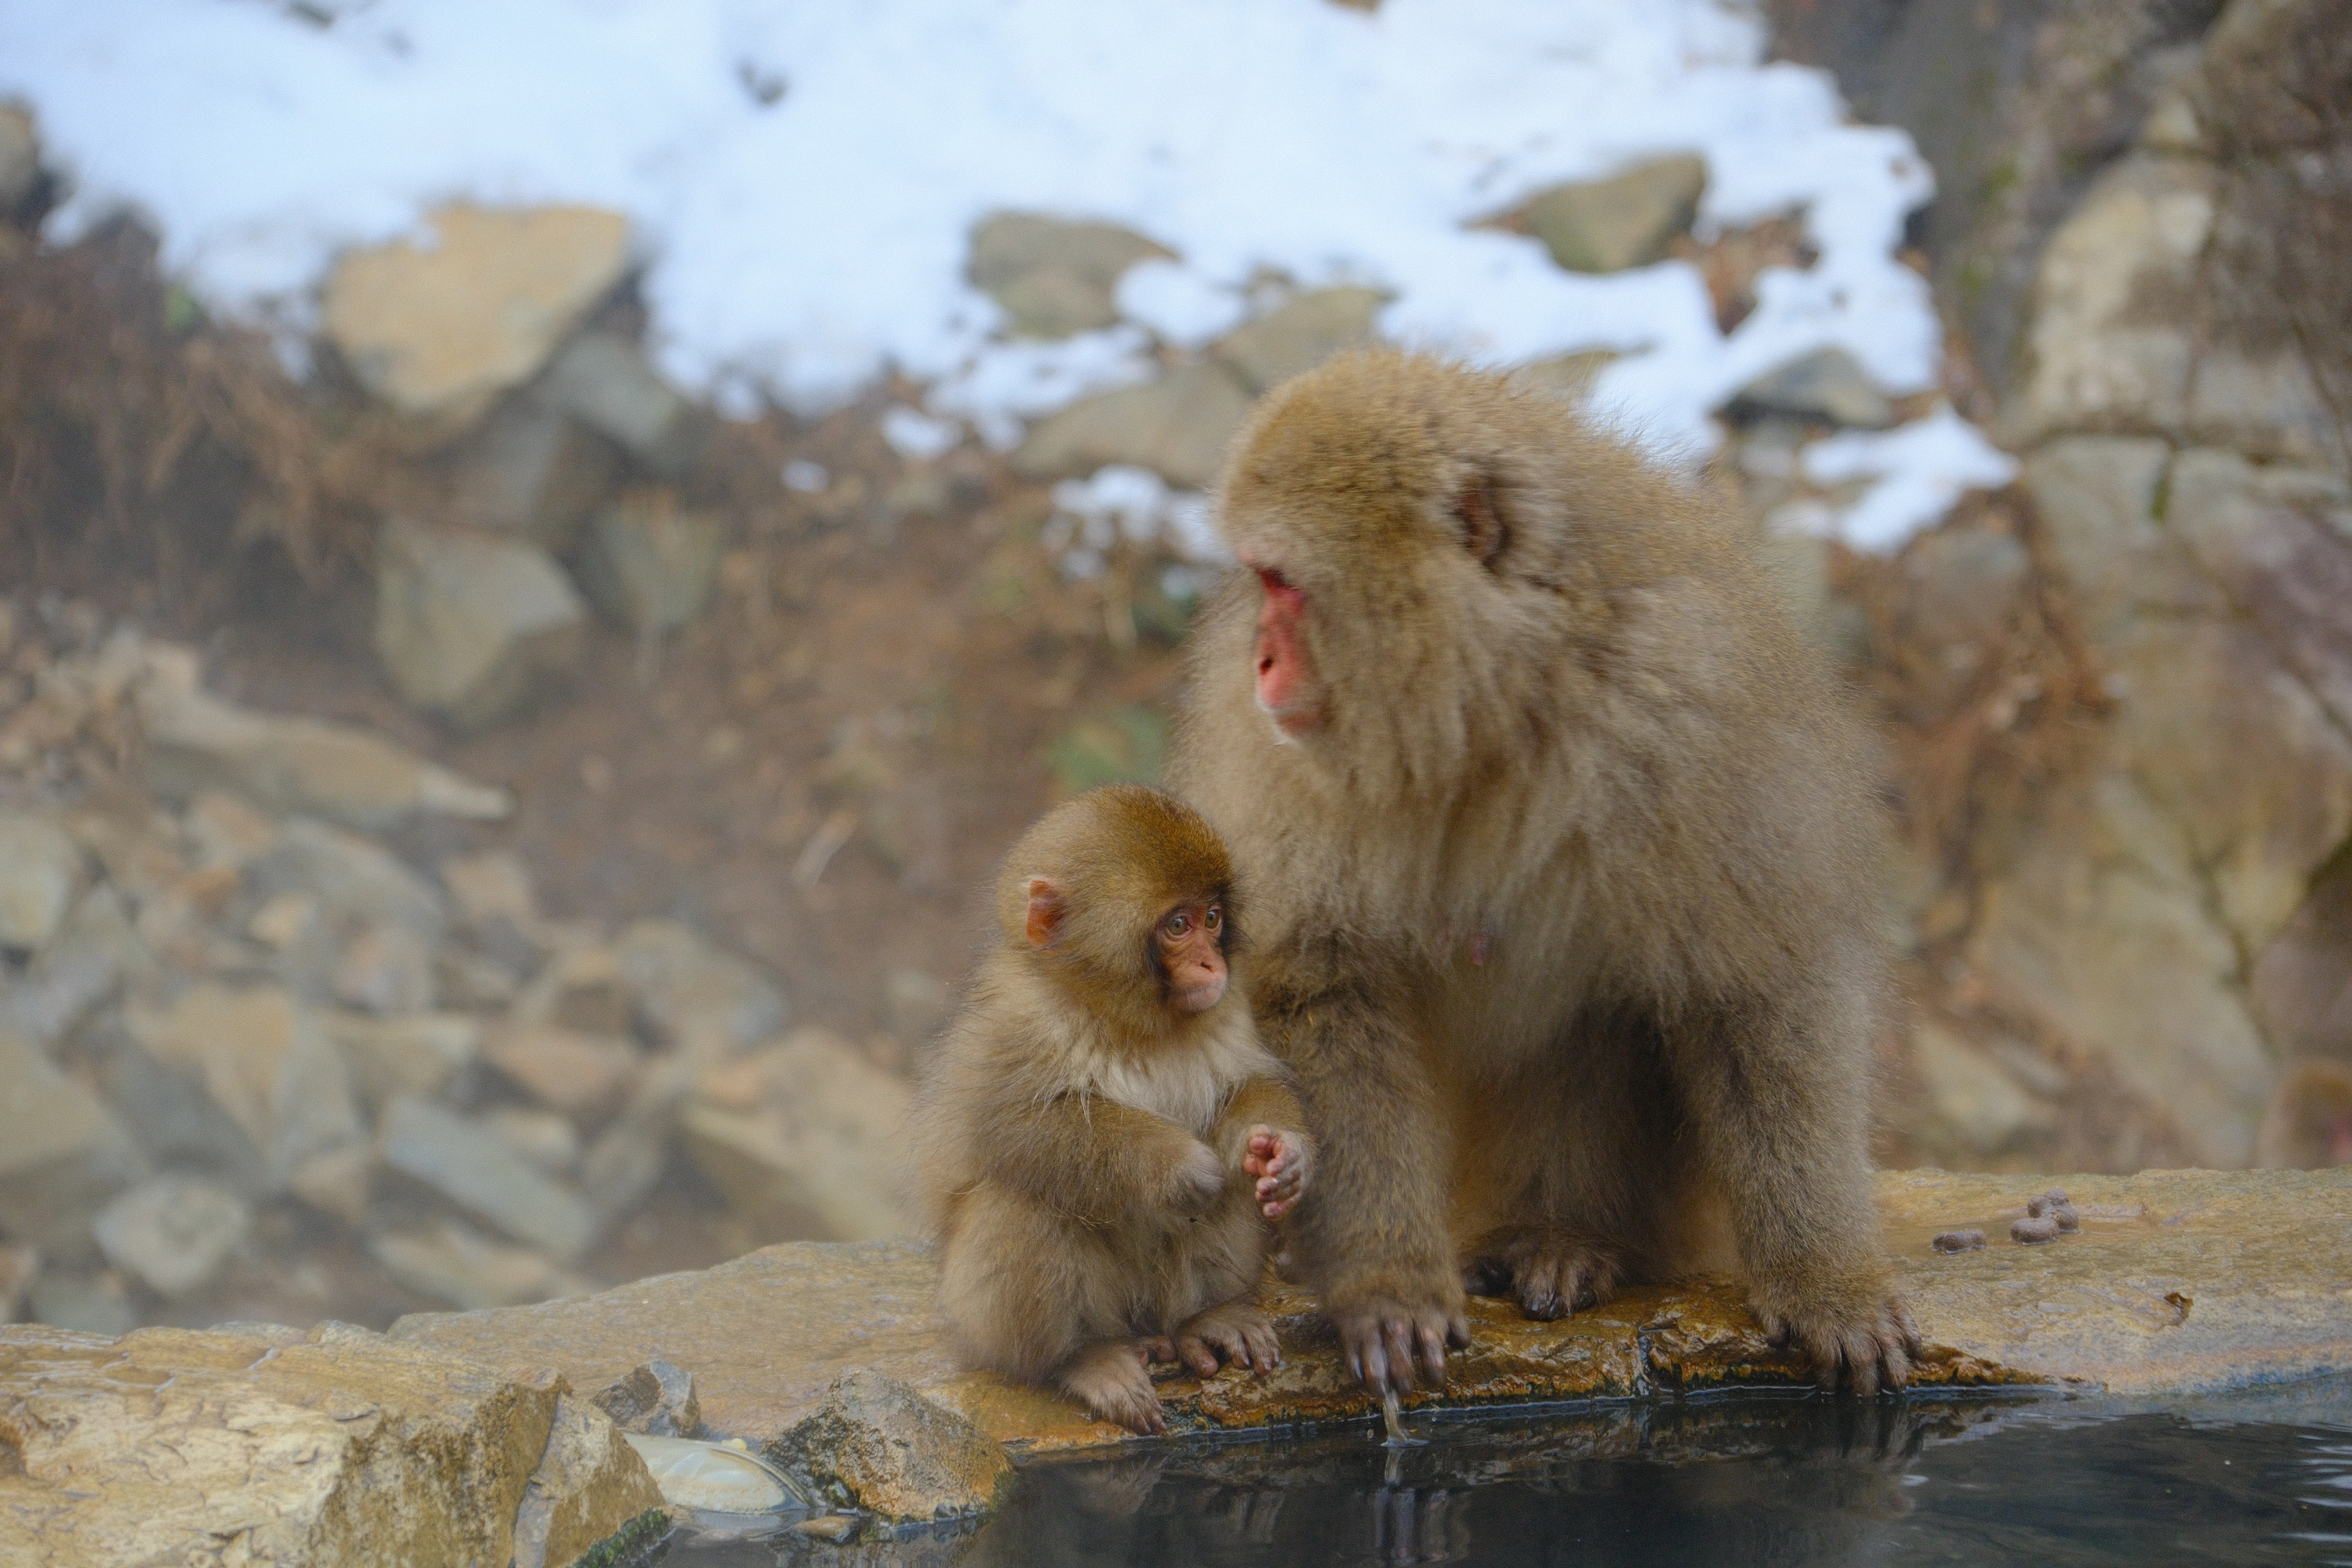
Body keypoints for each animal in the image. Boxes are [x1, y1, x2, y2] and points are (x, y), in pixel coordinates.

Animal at [909, 784, 1316, 1434]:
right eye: (1177, 925)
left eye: (1212, 918)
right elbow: (1017, 1128)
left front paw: (1283, 1152)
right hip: (987, 1316)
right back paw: (1081, 1359)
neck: (1124, 1020)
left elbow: (1243, 1089)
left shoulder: (1229, 1006)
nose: (1212, 964)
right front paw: (1181, 1167)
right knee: (1021, 1201)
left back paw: (1208, 1316)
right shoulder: (1013, 1024)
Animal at [1164, 349, 1920, 1398]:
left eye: (1285, 583)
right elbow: (1317, 984)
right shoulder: (1281, 763)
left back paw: (1560, 1236)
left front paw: (1825, 1279)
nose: (1261, 660)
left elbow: (1758, 980)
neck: (1488, 703)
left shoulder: (1688, 698)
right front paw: (1386, 1282)